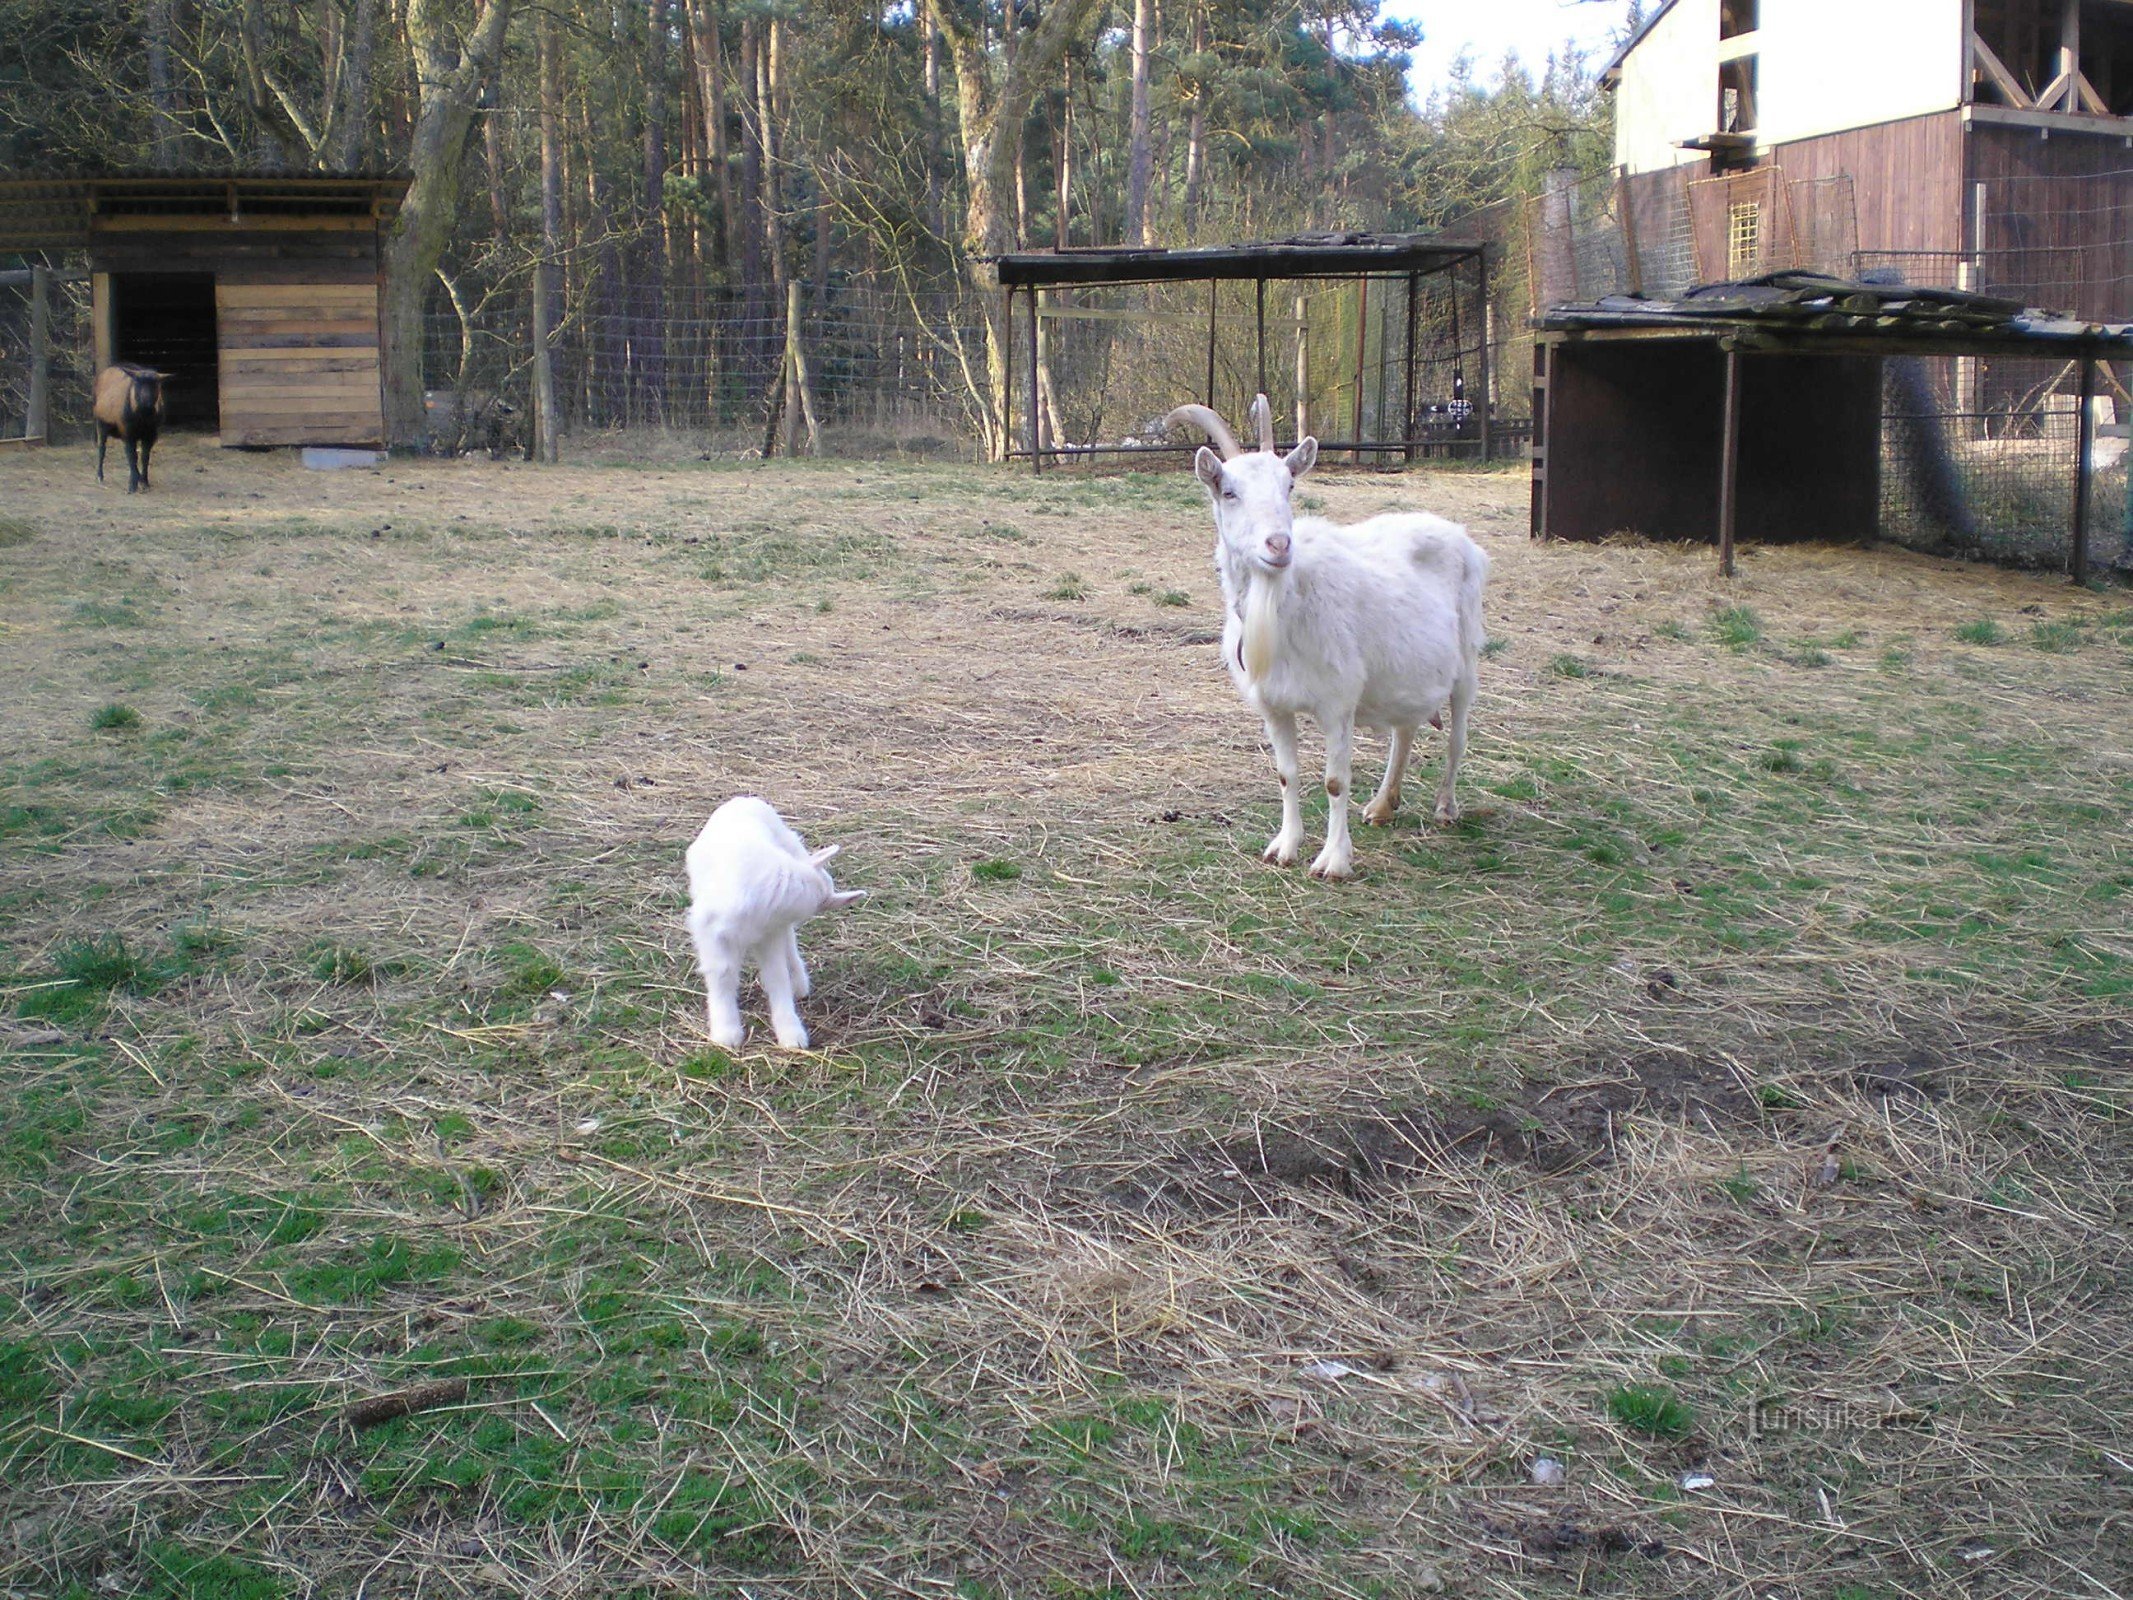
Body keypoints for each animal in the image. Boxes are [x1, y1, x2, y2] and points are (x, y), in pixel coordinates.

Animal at [1160, 396, 1493, 883]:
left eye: (1289, 486)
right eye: (1228, 491)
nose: (1279, 545)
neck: (1287, 604)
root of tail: (1457, 532)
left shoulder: (1338, 702)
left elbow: (1335, 781)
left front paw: (1333, 861)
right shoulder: (1274, 706)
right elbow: (1287, 774)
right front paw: (1285, 847)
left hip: (1466, 660)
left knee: (1458, 737)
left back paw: (1446, 807)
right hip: (1406, 671)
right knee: (1405, 729)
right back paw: (1383, 805)